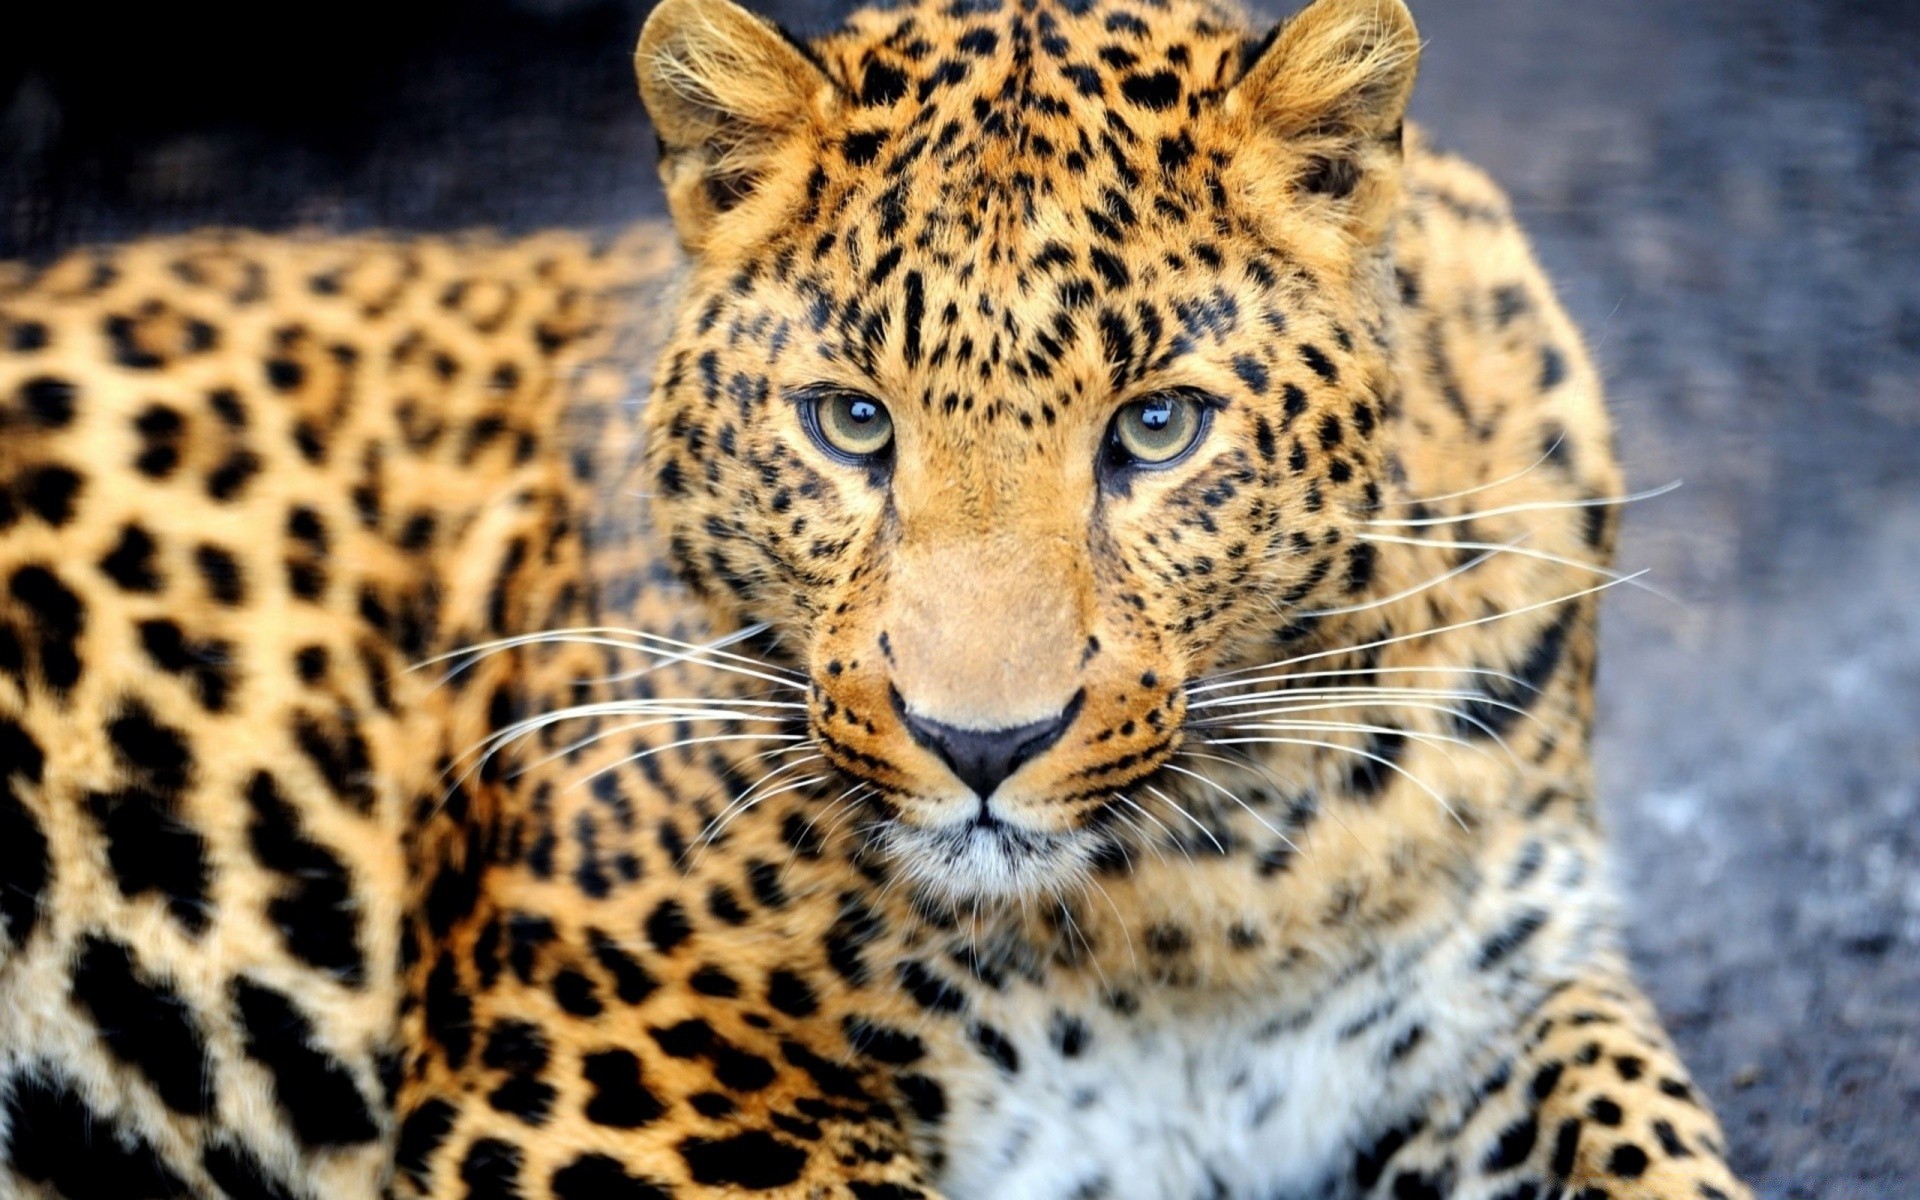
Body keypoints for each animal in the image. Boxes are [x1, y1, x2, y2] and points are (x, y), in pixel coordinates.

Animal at [0, 0, 1758, 1190]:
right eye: (852, 423)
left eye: (1157, 428)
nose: (981, 746)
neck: (1200, 902)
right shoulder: (615, 1090)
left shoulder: (1493, 998)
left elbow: (1649, 1142)